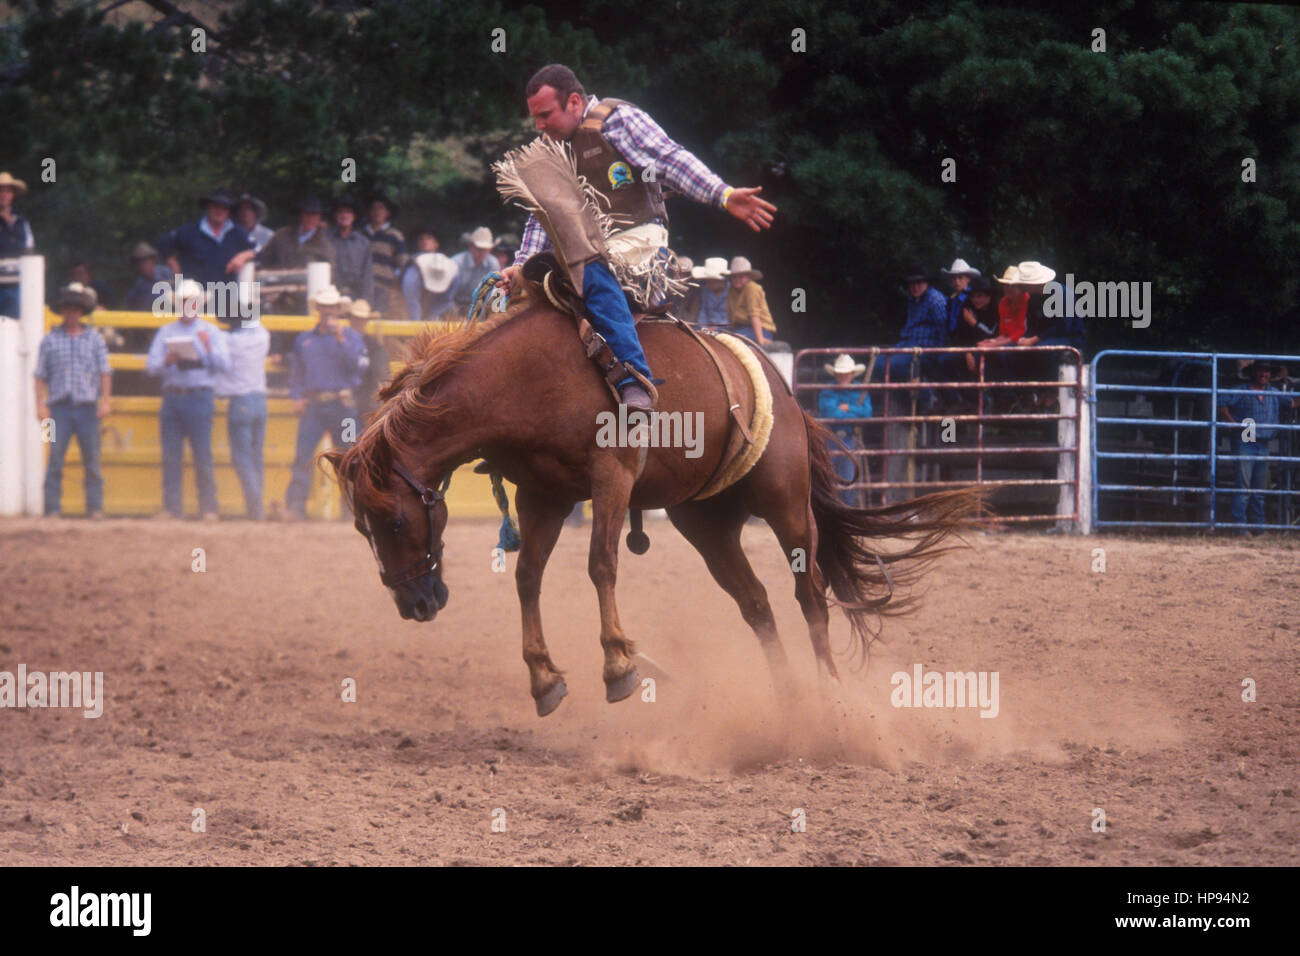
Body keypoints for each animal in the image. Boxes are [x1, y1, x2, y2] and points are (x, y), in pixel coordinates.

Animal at [325, 303, 977, 712]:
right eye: (360, 528)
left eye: (395, 520)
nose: (414, 604)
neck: (525, 380)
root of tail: (783, 387)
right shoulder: (544, 496)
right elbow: (528, 576)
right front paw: (543, 679)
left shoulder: (611, 476)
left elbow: (601, 565)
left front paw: (619, 665)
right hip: (706, 522)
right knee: (757, 603)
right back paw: (790, 701)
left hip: (786, 501)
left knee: (810, 596)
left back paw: (829, 695)